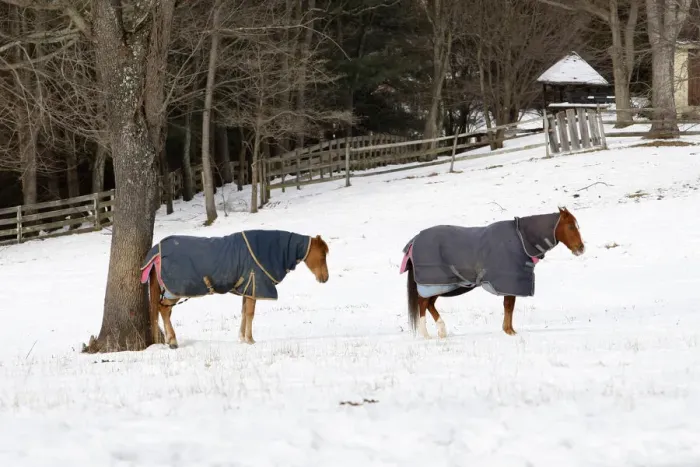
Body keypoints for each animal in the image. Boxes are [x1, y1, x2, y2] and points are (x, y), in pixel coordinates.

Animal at [140, 229, 329, 348]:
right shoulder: (255, 287)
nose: (325, 278)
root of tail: (157, 252)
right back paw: (172, 341)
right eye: (322, 255)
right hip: (175, 291)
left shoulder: (248, 289)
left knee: (164, 310)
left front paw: (242, 338)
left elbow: (244, 312)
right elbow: (250, 314)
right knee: (164, 309)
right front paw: (250, 340)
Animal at [400, 207, 584, 339]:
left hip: (442, 284)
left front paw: (509, 330)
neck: (520, 239)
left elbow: (509, 306)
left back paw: (442, 331)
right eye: (570, 226)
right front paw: (509, 331)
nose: (581, 248)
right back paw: (426, 334)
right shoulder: (509, 281)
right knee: (423, 303)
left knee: (429, 304)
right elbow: (509, 306)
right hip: (434, 283)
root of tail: (414, 240)